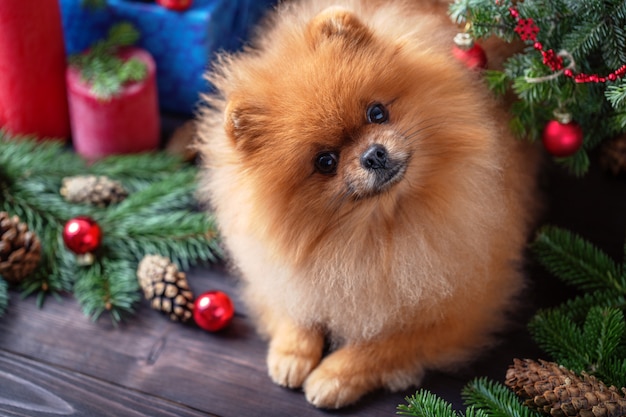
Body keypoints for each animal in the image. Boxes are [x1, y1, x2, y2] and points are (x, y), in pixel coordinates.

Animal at [196, 0, 536, 408]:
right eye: (325, 162)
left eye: (377, 112)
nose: (373, 155)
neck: (376, 231)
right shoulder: (282, 267)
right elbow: (293, 305)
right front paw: (291, 353)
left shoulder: (463, 307)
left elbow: (385, 343)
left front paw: (334, 375)